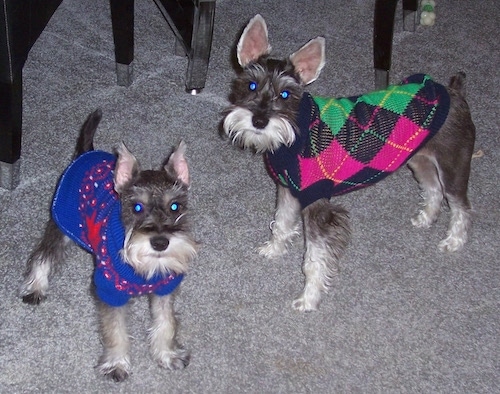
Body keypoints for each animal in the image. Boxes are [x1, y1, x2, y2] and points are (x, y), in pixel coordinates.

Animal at [20, 109, 198, 380]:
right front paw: (116, 363)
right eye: (137, 207)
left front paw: (167, 354)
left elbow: (166, 322)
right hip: (61, 225)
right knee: (43, 255)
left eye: (175, 206)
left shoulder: (165, 287)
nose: (160, 242)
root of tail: (85, 153)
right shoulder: (109, 292)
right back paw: (35, 287)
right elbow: (115, 330)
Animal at [223, 14, 476, 310]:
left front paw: (308, 298)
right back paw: (425, 218)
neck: (295, 135)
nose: (260, 120)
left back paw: (454, 241)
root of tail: (454, 91)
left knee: (460, 206)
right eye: (251, 85)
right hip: (419, 160)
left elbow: (314, 259)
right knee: (433, 189)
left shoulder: (318, 206)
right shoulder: (287, 190)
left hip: (453, 165)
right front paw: (273, 249)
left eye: (285, 94)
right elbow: (281, 222)